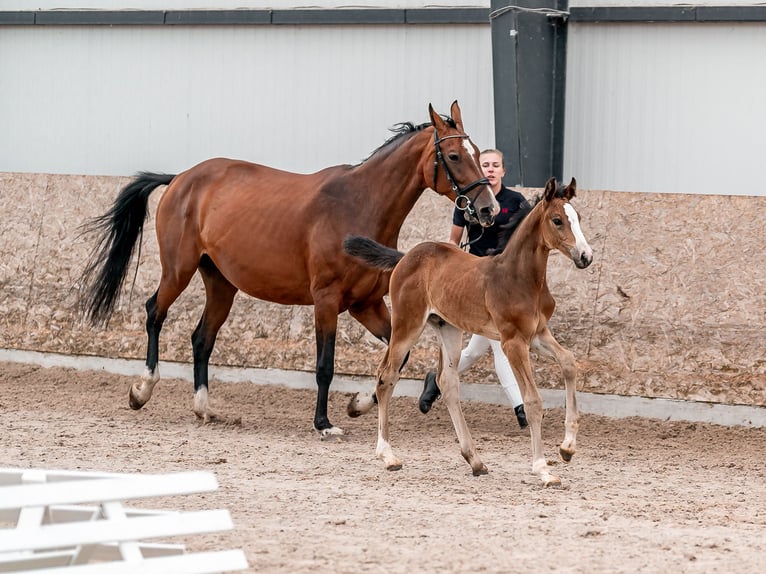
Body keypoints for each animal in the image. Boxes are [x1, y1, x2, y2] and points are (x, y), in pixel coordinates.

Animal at [78, 101, 499, 436]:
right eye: (455, 156)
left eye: (478, 152)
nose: (488, 209)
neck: (359, 206)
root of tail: (181, 177)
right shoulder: (326, 302)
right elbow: (325, 365)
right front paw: (324, 424)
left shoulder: (366, 304)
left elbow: (399, 356)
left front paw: (357, 404)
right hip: (178, 270)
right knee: (155, 313)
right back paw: (142, 391)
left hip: (221, 284)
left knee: (201, 338)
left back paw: (205, 409)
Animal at [344, 177, 593, 486]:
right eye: (557, 220)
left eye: (578, 217)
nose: (585, 256)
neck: (519, 278)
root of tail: (406, 256)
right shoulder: (513, 341)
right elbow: (533, 400)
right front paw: (542, 468)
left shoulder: (537, 334)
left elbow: (569, 362)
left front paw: (567, 448)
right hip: (406, 325)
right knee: (387, 375)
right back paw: (388, 456)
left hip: (448, 328)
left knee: (447, 382)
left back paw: (475, 460)